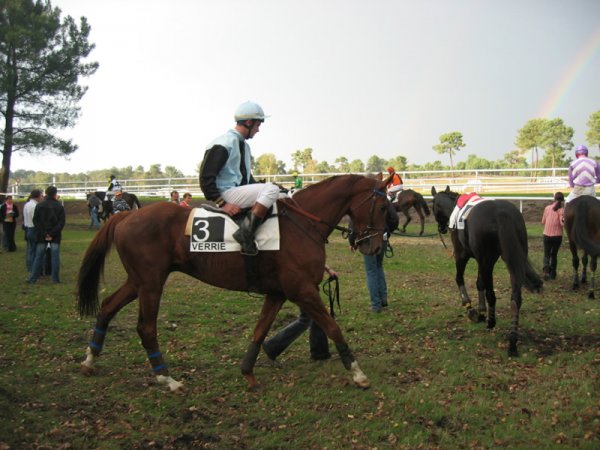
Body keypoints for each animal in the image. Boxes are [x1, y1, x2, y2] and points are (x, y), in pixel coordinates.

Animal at [77, 174, 392, 392]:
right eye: (381, 207)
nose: (375, 247)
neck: (302, 224)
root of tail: (125, 215)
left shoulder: (277, 293)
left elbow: (259, 331)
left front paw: (248, 372)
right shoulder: (302, 291)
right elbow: (333, 327)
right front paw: (358, 373)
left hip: (138, 281)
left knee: (107, 306)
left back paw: (90, 360)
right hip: (151, 284)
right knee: (146, 327)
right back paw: (167, 378)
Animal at [428, 185, 540, 356]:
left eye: (433, 205)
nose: (441, 227)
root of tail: (501, 213)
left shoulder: (462, 255)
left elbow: (460, 279)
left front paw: (470, 308)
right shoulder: (481, 260)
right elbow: (479, 283)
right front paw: (481, 310)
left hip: (488, 260)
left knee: (491, 293)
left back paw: (491, 322)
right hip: (512, 259)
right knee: (515, 298)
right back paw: (512, 340)